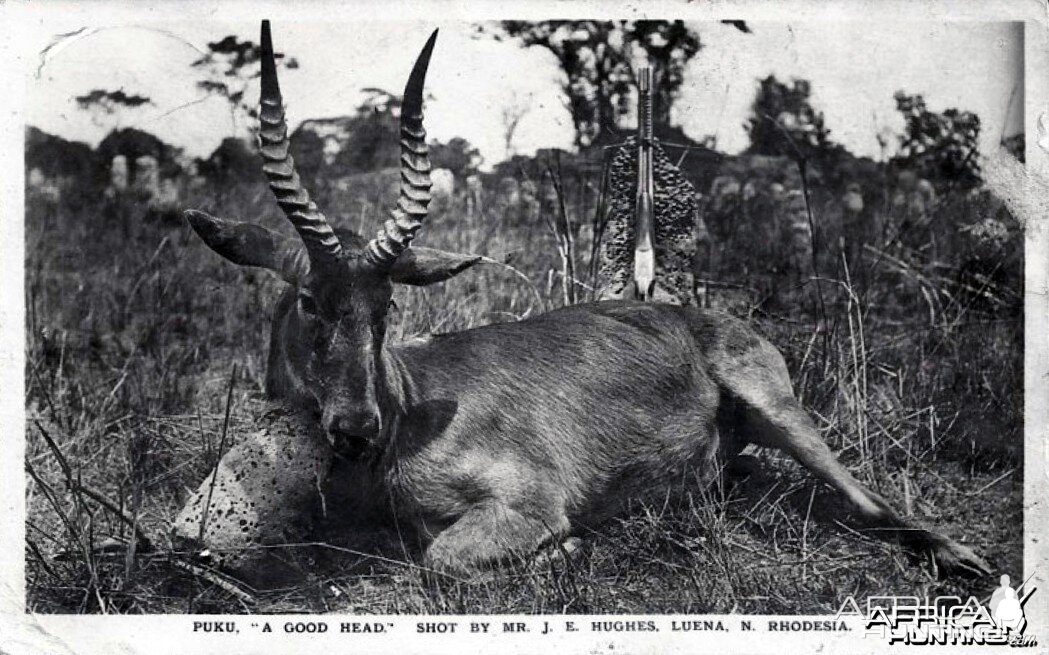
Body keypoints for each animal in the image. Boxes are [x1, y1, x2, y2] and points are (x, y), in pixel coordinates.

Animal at [180, 19, 990, 579]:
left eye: (386, 310)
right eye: (310, 300)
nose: (355, 426)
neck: (408, 412)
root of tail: (689, 314)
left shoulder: (526, 500)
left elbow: (445, 559)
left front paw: (569, 549)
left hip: (784, 415)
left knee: (866, 500)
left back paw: (964, 561)